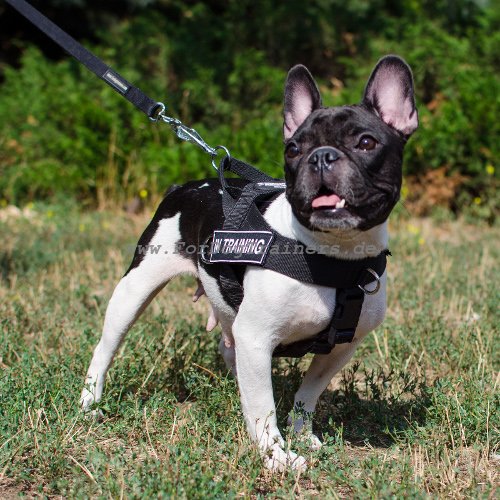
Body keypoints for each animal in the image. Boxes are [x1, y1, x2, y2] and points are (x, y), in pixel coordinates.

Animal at [81, 56, 418, 470]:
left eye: (366, 143)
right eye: (293, 149)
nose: (321, 156)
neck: (334, 256)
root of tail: (184, 187)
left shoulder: (340, 348)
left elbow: (308, 394)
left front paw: (302, 435)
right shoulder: (257, 338)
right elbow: (263, 406)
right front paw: (277, 455)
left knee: (229, 348)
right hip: (135, 288)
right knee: (106, 347)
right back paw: (90, 403)